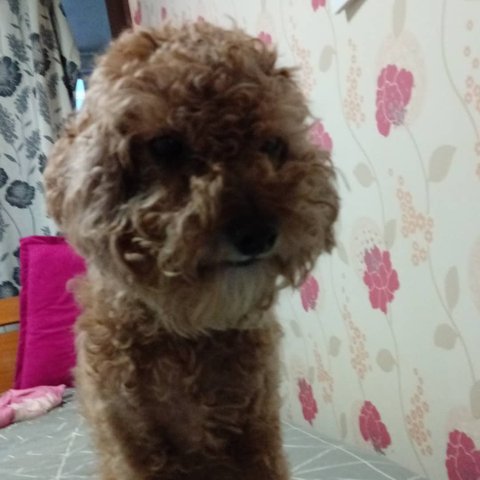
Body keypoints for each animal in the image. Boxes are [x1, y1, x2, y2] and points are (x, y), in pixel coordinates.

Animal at [44, 21, 339, 480]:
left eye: (272, 145)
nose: (258, 234)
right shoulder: (134, 443)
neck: (184, 333)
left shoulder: (256, 427)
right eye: (166, 146)